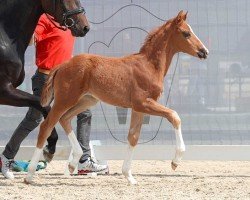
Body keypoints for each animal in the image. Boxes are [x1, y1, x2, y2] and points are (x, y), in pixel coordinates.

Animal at [25, 10, 209, 184]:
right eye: (186, 33)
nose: (204, 52)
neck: (149, 65)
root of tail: (61, 65)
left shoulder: (138, 108)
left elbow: (133, 137)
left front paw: (129, 176)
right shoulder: (143, 103)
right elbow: (174, 116)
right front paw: (175, 161)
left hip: (87, 100)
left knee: (64, 119)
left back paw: (72, 163)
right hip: (65, 99)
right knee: (47, 125)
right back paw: (30, 175)